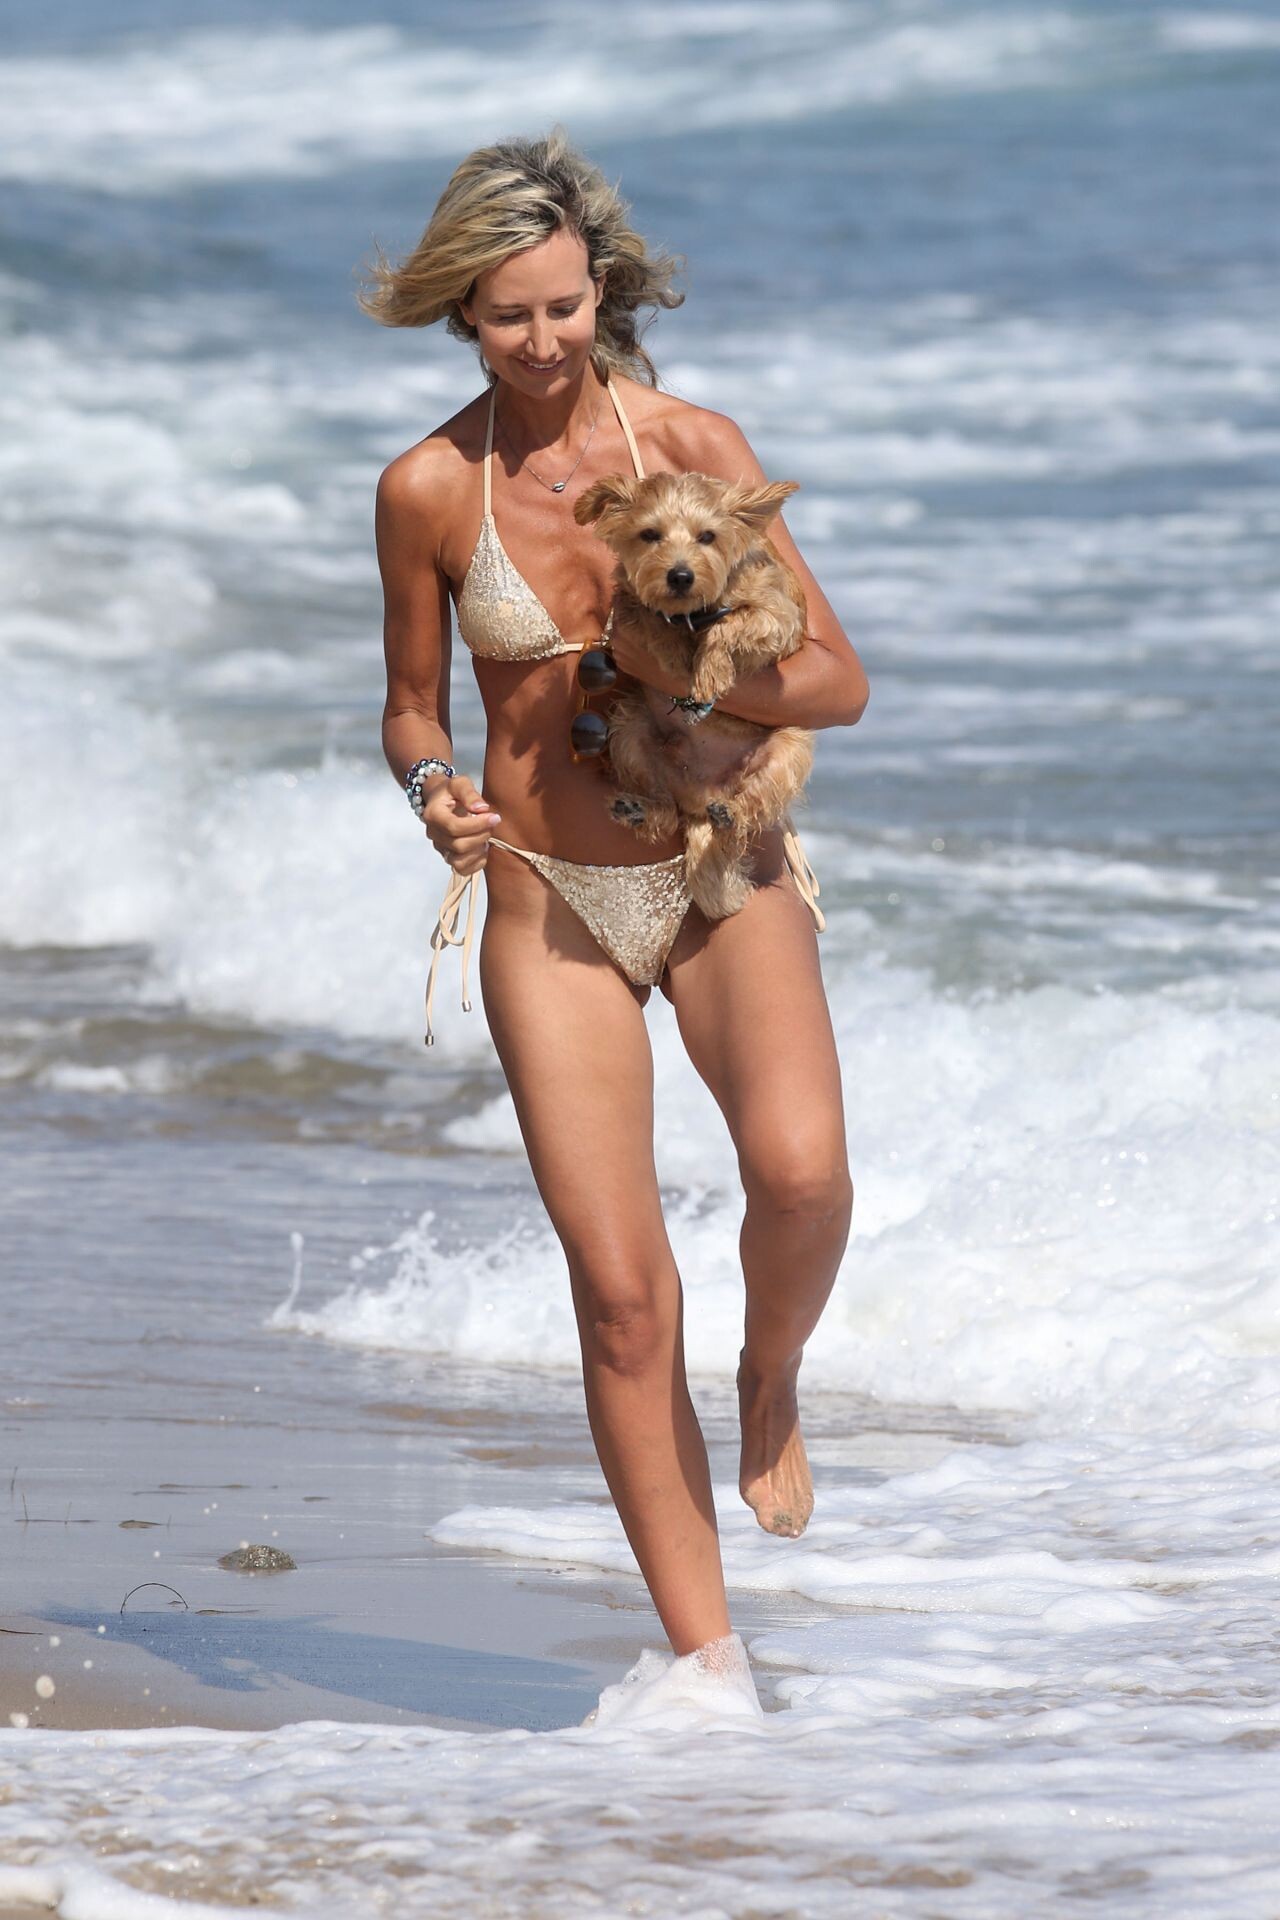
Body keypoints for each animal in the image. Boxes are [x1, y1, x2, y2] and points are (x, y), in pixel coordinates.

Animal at [574, 470, 814, 920]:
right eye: (650, 534)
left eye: (708, 536)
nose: (680, 576)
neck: (694, 612)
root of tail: (703, 799)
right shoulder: (629, 604)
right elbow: (647, 614)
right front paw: (672, 652)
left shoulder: (777, 616)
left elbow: (730, 623)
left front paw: (708, 670)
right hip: (629, 729)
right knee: (667, 813)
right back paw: (639, 810)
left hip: (789, 748)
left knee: (752, 808)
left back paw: (731, 814)